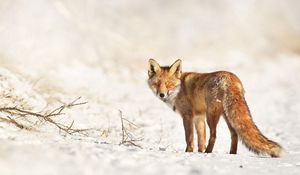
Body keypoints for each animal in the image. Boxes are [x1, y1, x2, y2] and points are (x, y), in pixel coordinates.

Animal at [148, 58, 284, 157]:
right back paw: (231, 154)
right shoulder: (198, 118)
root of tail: (230, 78)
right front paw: (199, 152)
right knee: (234, 134)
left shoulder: (188, 116)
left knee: (214, 135)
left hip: (212, 115)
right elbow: (201, 139)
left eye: (168, 84)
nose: (161, 94)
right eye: (157, 84)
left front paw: (189, 152)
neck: (179, 89)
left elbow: (189, 138)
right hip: (226, 116)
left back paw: (209, 152)